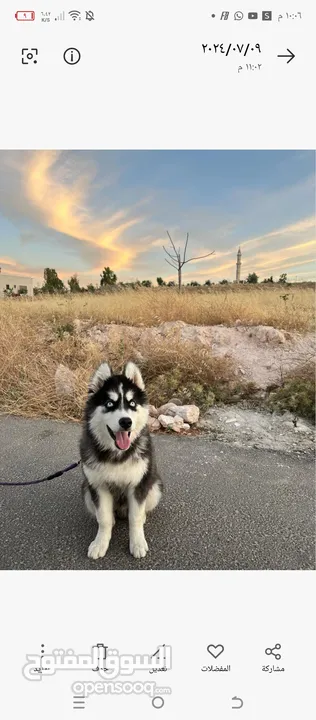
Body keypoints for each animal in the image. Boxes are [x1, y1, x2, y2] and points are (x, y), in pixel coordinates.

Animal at [79, 362, 163, 560]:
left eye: (132, 404)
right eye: (109, 404)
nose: (126, 421)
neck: (117, 455)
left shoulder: (139, 484)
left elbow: (135, 517)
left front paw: (137, 542)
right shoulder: (98, 486)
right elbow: (103, 518)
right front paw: (100, 543)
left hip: (155, 487)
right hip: (86, 490)